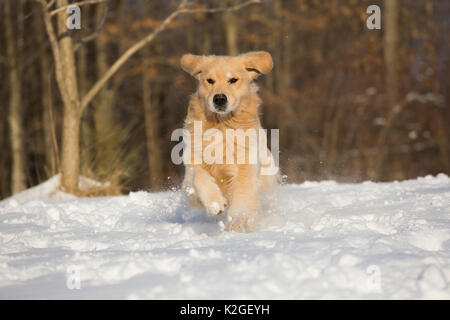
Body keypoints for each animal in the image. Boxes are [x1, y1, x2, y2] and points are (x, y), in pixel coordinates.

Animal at [179, 50, 278, 232]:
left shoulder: (245, 167)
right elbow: (197, 177)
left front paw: (236, 225)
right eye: (210, 80)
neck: (221, 125)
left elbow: (243, 198)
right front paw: (215, 203)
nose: (219, 98)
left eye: (233, 80)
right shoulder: (191, 171)